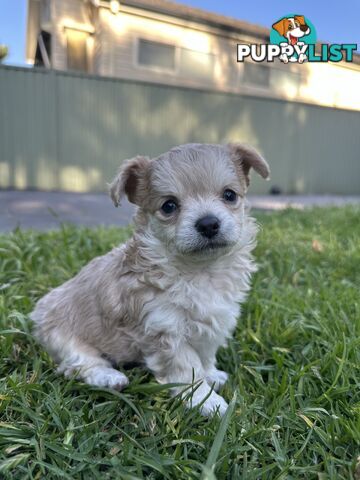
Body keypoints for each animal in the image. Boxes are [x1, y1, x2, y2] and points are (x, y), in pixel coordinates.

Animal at [31, 142, 270, 416]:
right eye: (169, 206)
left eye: (229, 195)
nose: (209, 223)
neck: (198, 271)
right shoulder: (165, 331)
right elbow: (188, 369)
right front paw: (207, 401)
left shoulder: (215, 322)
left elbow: (205, 356)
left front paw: (211, 375)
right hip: (61, 338)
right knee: (79, 364)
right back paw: (109, 377)